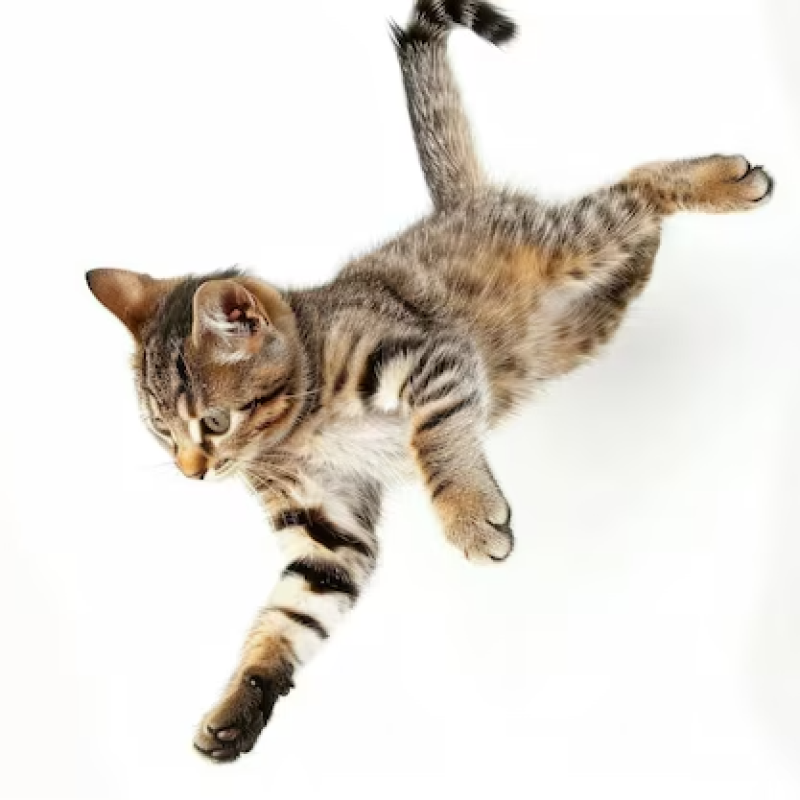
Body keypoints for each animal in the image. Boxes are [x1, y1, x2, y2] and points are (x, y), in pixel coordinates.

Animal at [86, 0, 773, 762]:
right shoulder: (327, 529)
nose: (193, 472)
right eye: (162, 432)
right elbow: (290, 614)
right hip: (586, 320)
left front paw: (469, 515)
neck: (299, 429)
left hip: (572, 244)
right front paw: (242, 701)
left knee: (633, 190)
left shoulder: (430, 358)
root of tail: (459, 206)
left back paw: (724, 180)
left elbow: (434, 437)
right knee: (642, 237)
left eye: (213, 422)